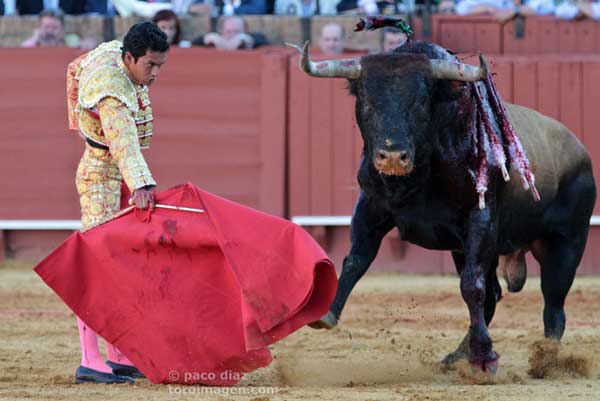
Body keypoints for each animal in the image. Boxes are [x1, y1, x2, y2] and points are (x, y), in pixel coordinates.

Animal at [294, 39, 596, 370]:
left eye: (421, 102)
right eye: (368, 101)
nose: (392, 157)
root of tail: (580, 150)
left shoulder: (481, 220)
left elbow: (472, 285)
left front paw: (487, 358)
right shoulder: (371, 207)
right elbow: (356, 259)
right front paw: (326, 313)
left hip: (567, 242)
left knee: (553, 303)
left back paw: (545, 360)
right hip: (468, 249)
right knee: (493, 295)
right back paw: (461, 355)